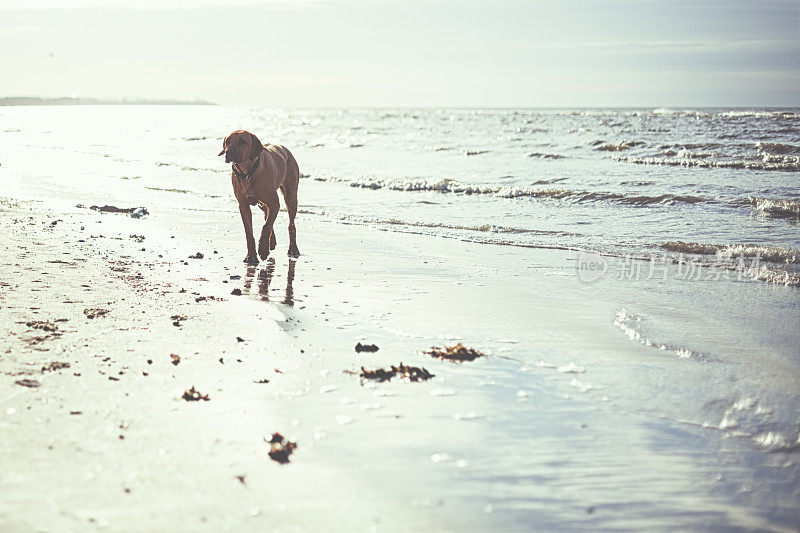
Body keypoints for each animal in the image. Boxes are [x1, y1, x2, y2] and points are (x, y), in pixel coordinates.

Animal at [219, 130, 300, 262]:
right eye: (228, 141)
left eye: (242, 141)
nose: (228, 152)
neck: (247, 173)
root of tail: (285, 149)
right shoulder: (243, 205)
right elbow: (249, 232)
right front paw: (251, 255)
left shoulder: (275, 203)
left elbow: (266, 226)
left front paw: (262, 249)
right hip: (262, 203)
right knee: (267, 213)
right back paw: (272, 241)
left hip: (291, 196)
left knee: (291, 224)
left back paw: (293, 248)